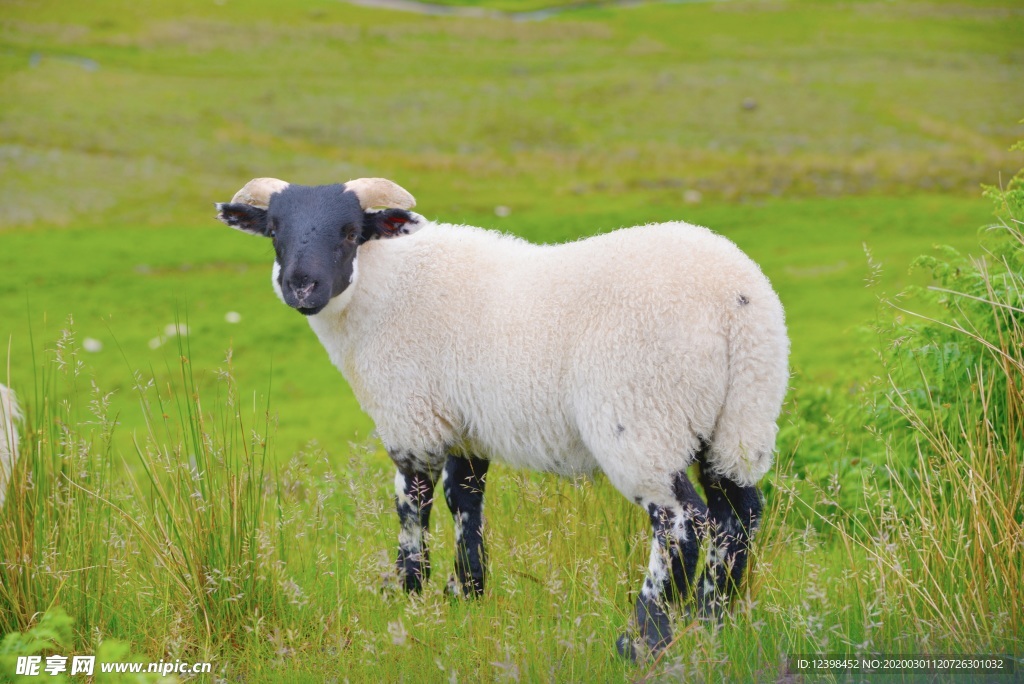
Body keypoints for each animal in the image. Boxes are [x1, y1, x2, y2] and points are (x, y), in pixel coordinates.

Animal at [218, 179, 790, 659]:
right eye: (275, 230)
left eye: (351, 231)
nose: (302, 286)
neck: (385, 288)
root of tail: (734, 301)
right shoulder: (465, 426)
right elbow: (465, 501)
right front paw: (464, 593)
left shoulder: (411, 420)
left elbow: (413, 507)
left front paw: (407, 594)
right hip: (739, 418)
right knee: (738, 515)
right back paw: (713, 623)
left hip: (644, 416)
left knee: (682, 523)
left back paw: (643, 640)